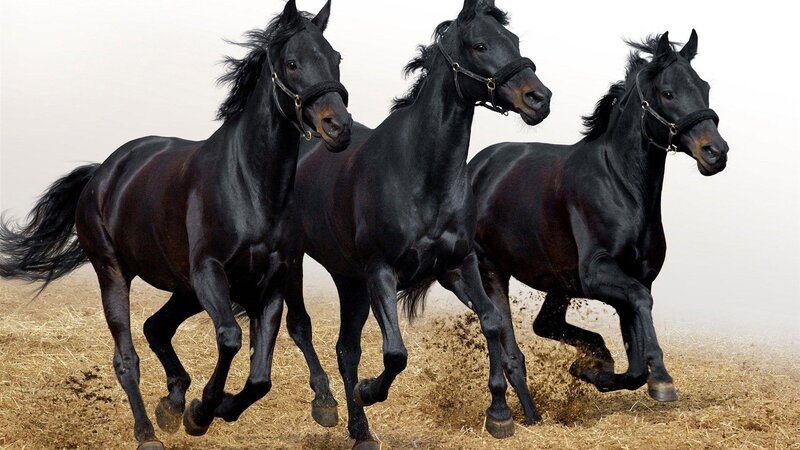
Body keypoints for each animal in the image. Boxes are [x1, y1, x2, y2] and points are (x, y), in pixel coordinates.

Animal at [0, 1, 352, 448]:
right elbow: (230, 338)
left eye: (336, 58)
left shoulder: (271, 281)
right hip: (115, 272)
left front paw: (215, 408)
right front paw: (202, 412)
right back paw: (148, 431)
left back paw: (171, 404)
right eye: (292, 63)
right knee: (127, 356)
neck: (250, 185)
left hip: (183, 288)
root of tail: (103, 173)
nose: (338, 128)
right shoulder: (209, 273)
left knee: (156, 327)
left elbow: (260, 376)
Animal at [273, 0, 551, 447]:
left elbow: (492, 322)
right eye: (480, 45)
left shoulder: (459, 265)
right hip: (297, 260)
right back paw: (327, 404)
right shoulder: (381, 272)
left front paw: (500, 413)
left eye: (515, 40)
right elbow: (395, 353)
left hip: (349, 279)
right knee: (302, 327)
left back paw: (361, 431)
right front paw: (369, 391)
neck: (422, 174)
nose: (539, 99)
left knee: (346, 349)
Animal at [467, 30, 728, 406]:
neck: (620, 186)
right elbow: (641, 305)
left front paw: (593, 371)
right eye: (668, 93)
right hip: (492, 269)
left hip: (558, 281)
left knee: (544, 324)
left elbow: (635, 363)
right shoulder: (598, 273)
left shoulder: (634, 277)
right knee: (510, 340)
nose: (716, 152)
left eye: (704, 87)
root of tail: (476, 167)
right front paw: (662, 379)